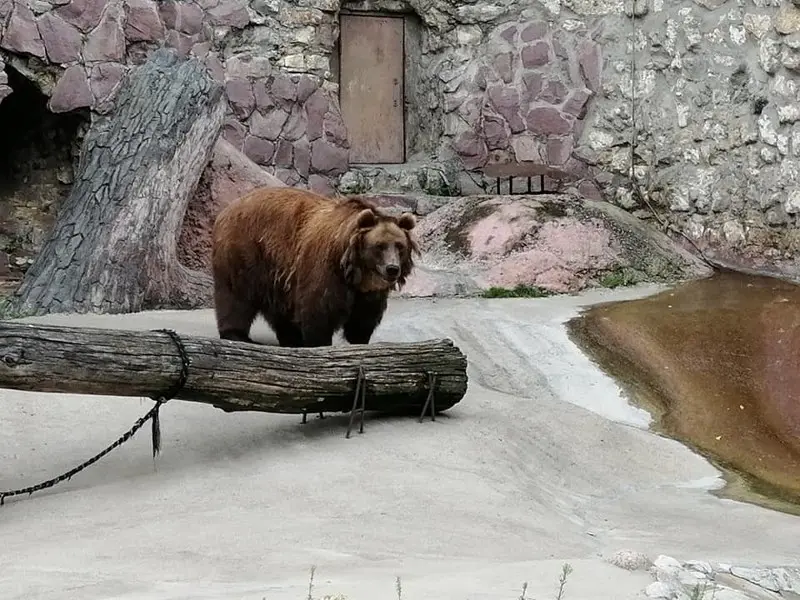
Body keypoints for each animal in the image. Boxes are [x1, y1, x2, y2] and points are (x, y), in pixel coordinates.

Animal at [209, 186, 418, 346]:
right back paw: (238, 335)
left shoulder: (368, 292)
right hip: (245, 252)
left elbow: (363, 319)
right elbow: (318, 312)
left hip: (276, 273)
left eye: (399, 246)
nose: (392, 268)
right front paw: (318, 342)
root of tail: (226, 211)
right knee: (235, 296)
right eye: (379, 246)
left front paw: (359, 340)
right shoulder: (325, 269)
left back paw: (290, 338)